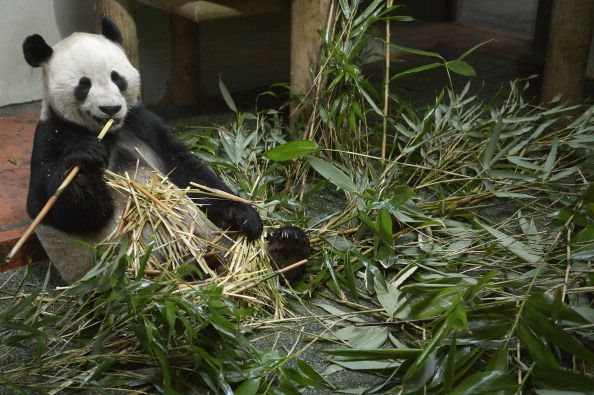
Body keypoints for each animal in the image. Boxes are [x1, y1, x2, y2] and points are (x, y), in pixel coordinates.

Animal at [22, 18, 306, 284]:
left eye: (117, 77)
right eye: (84, 85)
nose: (111, 108)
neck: (107, 132)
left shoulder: (142, 124)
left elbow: (192, 176)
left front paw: (245, 215)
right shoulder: (52, 136)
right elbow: (55, 209)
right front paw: (83, 168)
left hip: (216, 237)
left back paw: (287, 250)